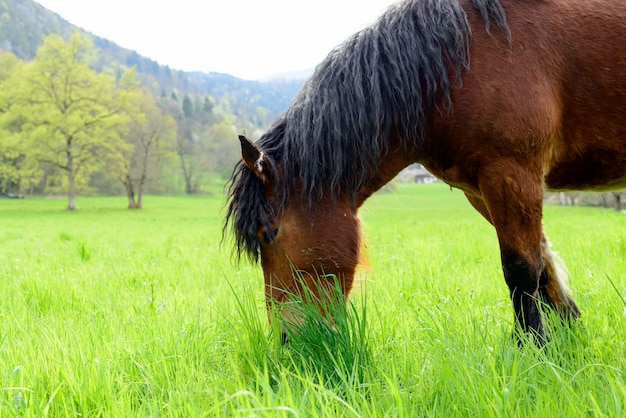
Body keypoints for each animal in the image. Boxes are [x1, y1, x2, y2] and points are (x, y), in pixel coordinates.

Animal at [227, 0, 624, 342]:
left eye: (269, 233)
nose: (288, 339)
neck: (457, 60)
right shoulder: (483, 189)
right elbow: (542, 265)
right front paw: (567, 340)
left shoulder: (512, 173)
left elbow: (521, 269)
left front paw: (532, 348)